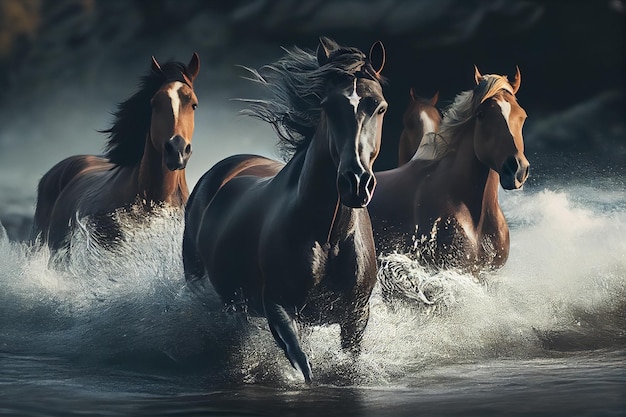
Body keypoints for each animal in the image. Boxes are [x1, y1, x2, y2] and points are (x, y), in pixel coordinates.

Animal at [180, 38, 386, 384]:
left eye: (379, 106)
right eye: (328, 106)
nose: (356, 182)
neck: (329, 234)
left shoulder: (355, 315)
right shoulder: (278, 307)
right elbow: (303, 365)